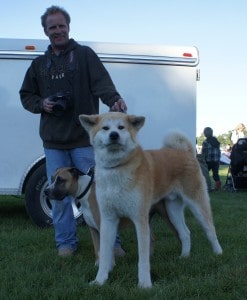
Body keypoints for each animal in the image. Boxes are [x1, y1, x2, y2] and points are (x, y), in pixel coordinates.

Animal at [80, 112, 223, 288]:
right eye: (105, 128)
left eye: (121, 127)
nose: (114, 135)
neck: (117, 169)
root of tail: (186, 152)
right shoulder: (107, 219)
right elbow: (105, 255)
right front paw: (100, 280)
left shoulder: (140, 218)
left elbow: (143, 258)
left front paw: (144, 284)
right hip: (172, 210)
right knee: (185, 232)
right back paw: (184, 256)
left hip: (197, 204)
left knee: (210, 229)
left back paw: (218, 253)